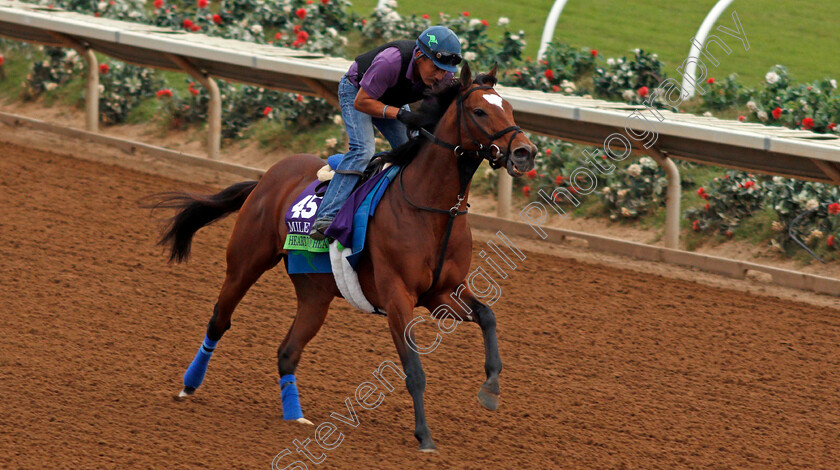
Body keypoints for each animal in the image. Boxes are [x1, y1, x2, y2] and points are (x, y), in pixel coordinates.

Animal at [153, 63, 536, 452]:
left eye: (509, 108)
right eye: (479, 111)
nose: (525, 152)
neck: (430, 208)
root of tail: (266, 177)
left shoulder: (442, 294)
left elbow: (487, 316)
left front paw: (491, 389)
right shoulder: (398, 297)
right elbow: (413, 369)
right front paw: (425, 435)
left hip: (315, 294)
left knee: (287, 351)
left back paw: (295, 415)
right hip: (246, 262)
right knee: (219, 320)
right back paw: (188, 385)